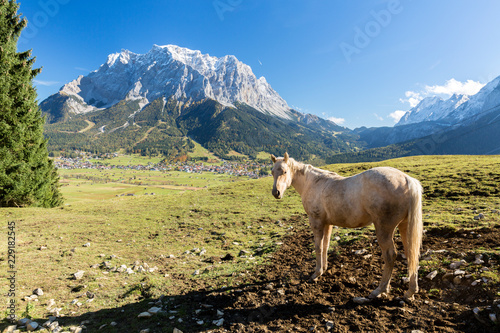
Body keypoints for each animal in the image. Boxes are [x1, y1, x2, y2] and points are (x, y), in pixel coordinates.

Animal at [272, 152, 424, 300]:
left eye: (285, 171)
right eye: (272, 171)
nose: (276, 193)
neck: (313, 183)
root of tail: (407, 179)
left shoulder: (316, 221)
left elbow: (318, 247)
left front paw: (316, 273)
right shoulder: (327, 224)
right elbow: (325, 245)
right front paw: (324, 268)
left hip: (384, 229)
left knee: (390, 256)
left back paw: (379, 290)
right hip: (404, 226)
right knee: (411, 254)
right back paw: (410, 292)